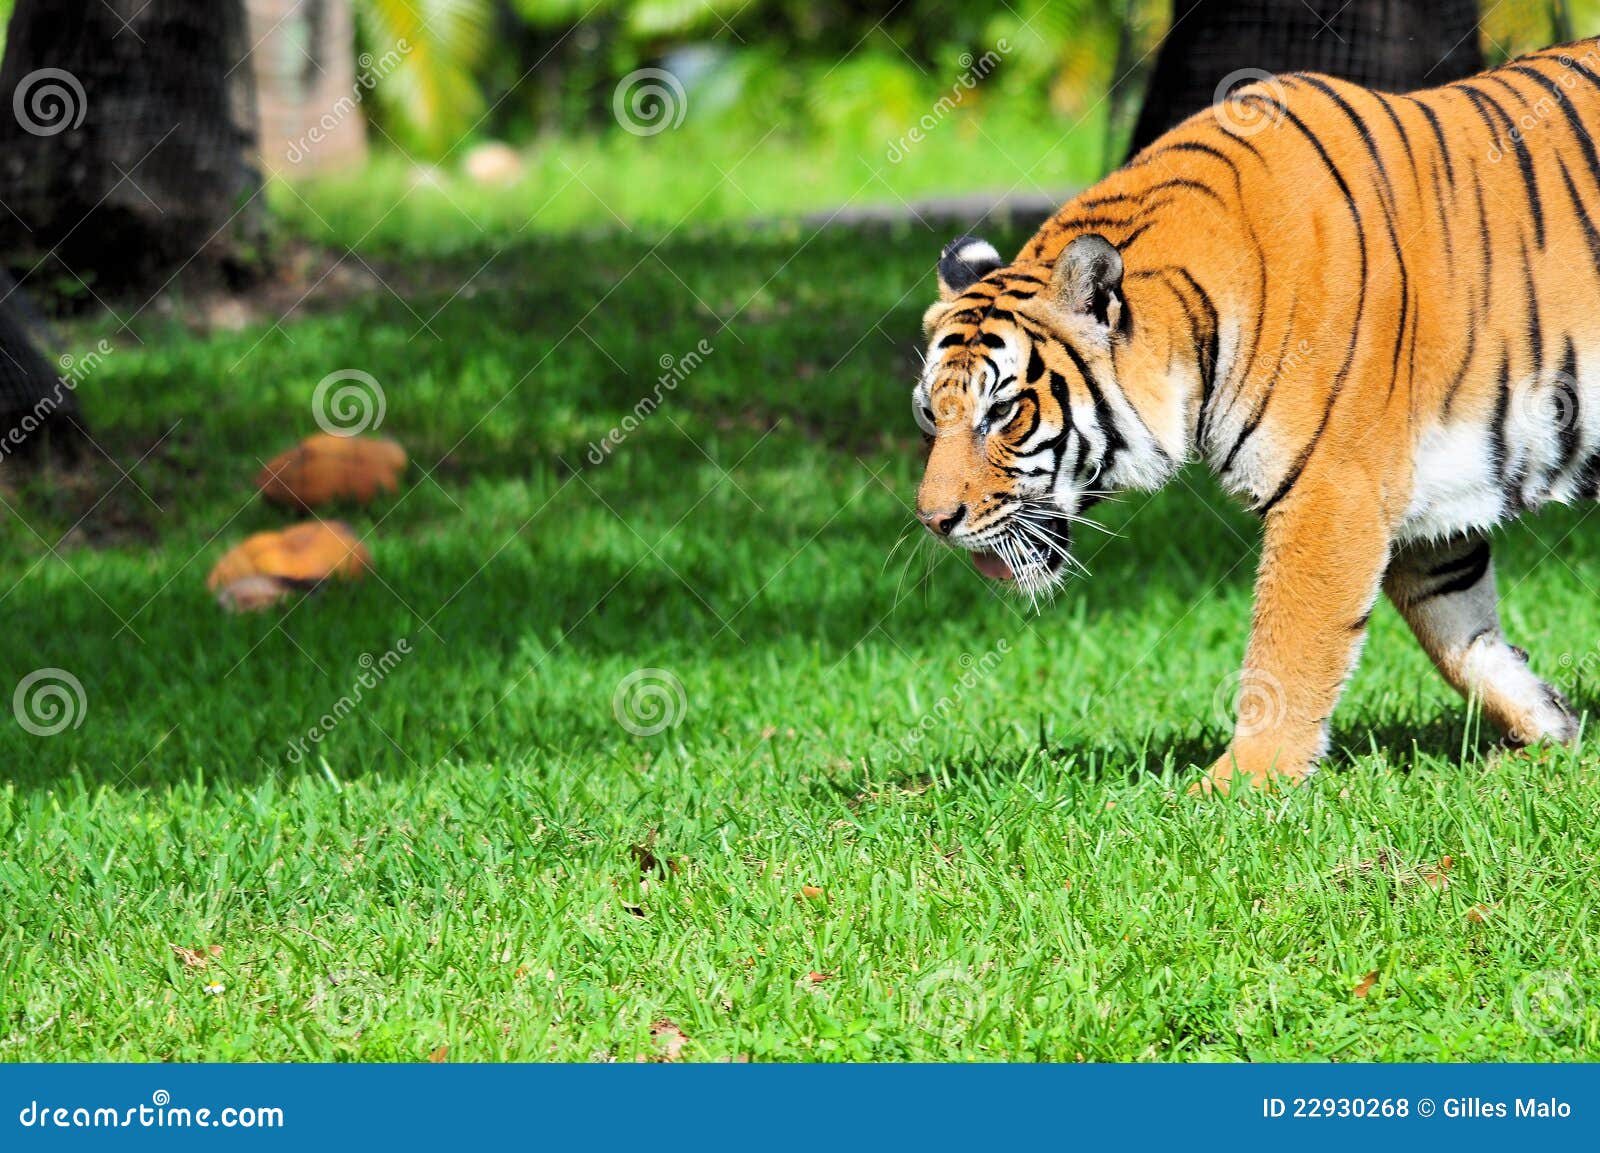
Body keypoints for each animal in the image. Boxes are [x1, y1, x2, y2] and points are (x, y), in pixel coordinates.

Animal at [915, 35, 1600, 793]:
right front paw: (1548, 727)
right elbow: (1458, 630)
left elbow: (1287, 650)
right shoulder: (1429, 499)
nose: (934, 520)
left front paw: (1234, 786)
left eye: (1003, 411)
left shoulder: (1333, 492)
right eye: (932, 414)